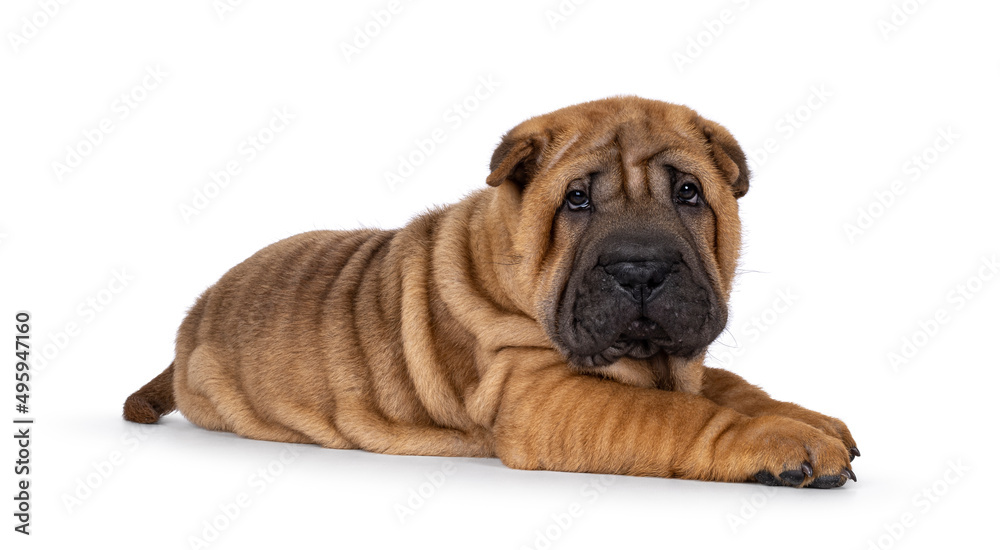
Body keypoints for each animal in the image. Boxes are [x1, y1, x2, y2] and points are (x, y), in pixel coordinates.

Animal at [123, 97, 860, 490]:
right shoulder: (546, 397)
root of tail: (194, 317)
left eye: (687, 193)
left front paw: (811, 420)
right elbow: (683, 416)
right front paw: (786, 445)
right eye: (577, 200)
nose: (641, 269)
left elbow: (738, 388)